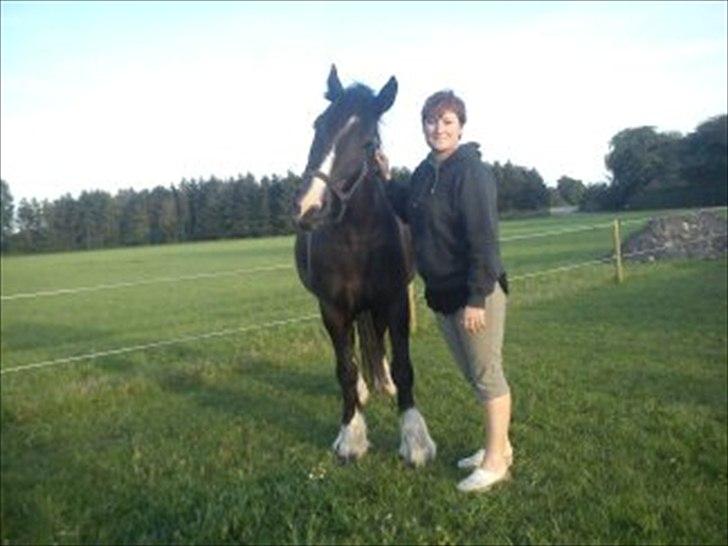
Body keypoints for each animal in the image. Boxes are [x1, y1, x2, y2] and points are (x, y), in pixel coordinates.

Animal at [291, 65, 437, 466]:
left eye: (369, 142)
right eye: (318, 124)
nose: (309, 208)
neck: (357, 238)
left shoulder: (395, 300)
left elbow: (403, 365)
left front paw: (414, 440)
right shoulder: (332, 307)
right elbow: (344, 367)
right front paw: (351, 434)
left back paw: (382, 382)